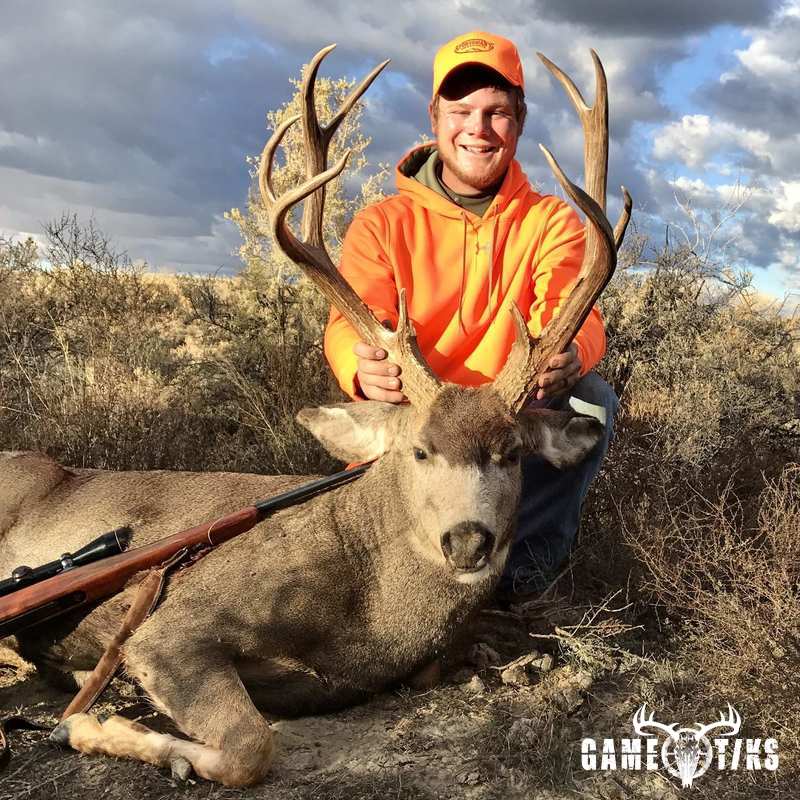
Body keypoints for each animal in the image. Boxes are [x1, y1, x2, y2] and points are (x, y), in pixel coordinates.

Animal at [0, 45, 630, 786]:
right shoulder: (170, 621)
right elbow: (250, 747)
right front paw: (95, 724)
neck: (367, 610)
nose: (468, 542)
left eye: (511, 452)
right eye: (418, 450)